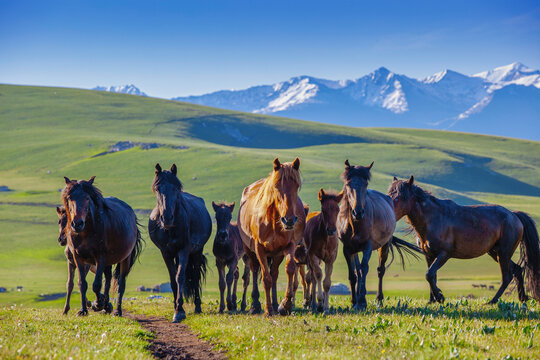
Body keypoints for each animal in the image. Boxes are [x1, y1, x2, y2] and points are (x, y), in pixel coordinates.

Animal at [60, 176, 143, 316]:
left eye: (87, 198)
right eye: (70, 197)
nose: (77, 224)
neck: (85, 233)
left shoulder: (100, 256)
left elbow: (96, 285)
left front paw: (97, 304)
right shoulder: (78, 257)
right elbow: (82, 283)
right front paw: (83, 310)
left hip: (124, 259)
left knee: (121, 283)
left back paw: (117, 310)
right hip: (108, 262)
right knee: (108, 279)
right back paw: (106, 306)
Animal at [151, 164, 214, 324]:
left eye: (176, 189)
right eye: (158, 188)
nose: (167, 217)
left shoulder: (184, 250)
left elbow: (180, 276)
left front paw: (179, 311)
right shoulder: (166, 252)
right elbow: (173, 279)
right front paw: (176, 306)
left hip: (196, 252)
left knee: (196, 277)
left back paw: (197, 307)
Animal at [238, 158, 306, 316]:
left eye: (296, 186)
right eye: (276, 186)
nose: (289, 220)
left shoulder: (288, 246)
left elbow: (290, 269)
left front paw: (285, 304)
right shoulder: (259, 249)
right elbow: (265, 278)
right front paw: (268, 310)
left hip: (277, 254)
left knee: (274, 273)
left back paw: (275, 304)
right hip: (250, 251)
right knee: (255, 270)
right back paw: (255, 305)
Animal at [338, 159, 422, 310]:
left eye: (366, 184)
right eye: (348, 184)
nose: (358, 212)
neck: (354, 224)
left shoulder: (367, 246)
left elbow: (364, 269)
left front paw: (361, 301)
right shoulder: (347, 248)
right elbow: (353, 274)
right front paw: (354, 302)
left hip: (384, 245)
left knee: (380, 270)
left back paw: (379, 300)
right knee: (358, 270)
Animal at [388, 176, 540, 302]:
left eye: (399, 197)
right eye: (389, 194)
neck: (433, 218)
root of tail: (514, 215)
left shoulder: (444, 254)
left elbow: (429, 275)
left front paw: (440, 297)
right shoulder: (429, 255)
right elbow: (432, 276)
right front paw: (432, 300)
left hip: (503, 253)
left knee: (507, 276)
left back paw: (492, 301)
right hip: (495, 252)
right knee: (517, 270)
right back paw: (522, 299)